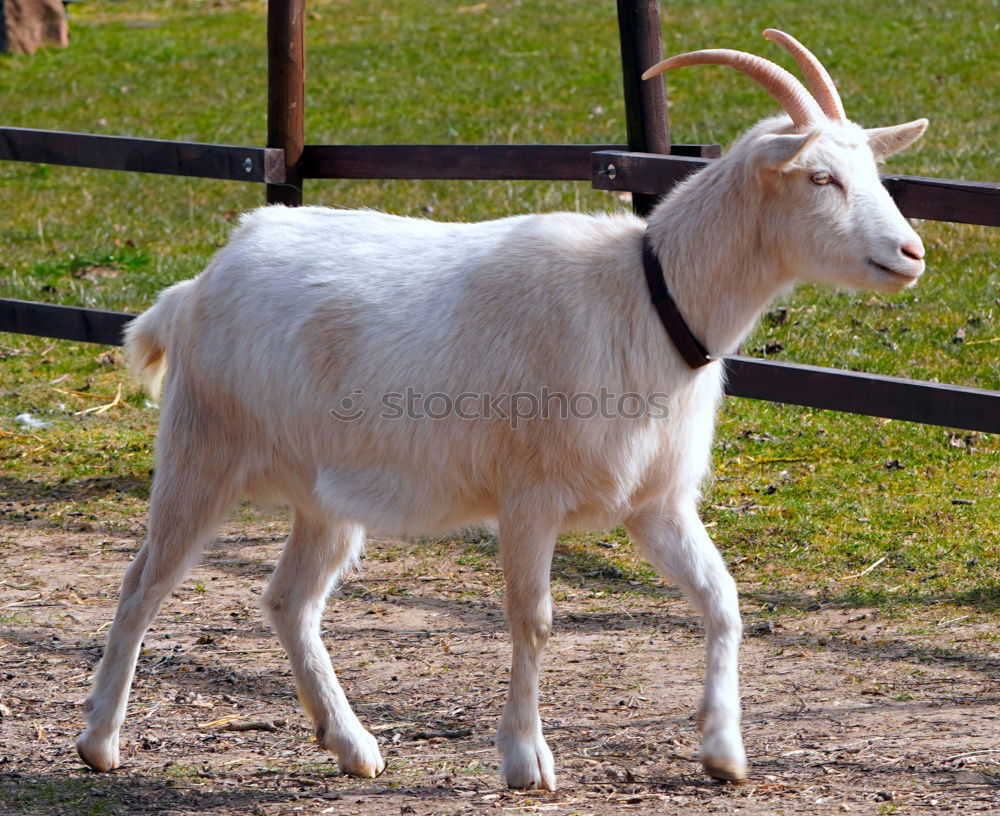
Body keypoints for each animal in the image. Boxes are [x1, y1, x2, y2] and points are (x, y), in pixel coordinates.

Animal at [74, 31, 924, 792]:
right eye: (820, 177)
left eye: (872, 171)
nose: (911, 254)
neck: (644, 298)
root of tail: (198, 285)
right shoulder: (529, 497)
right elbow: (533, 619)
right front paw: (526, 761)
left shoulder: (655, 502)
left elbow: (722, 600)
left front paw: (723, 752)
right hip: (201, 451)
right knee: (144, 581)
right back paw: (100, 742)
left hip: (324, 497)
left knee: (289, 600)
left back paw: (352, 746)